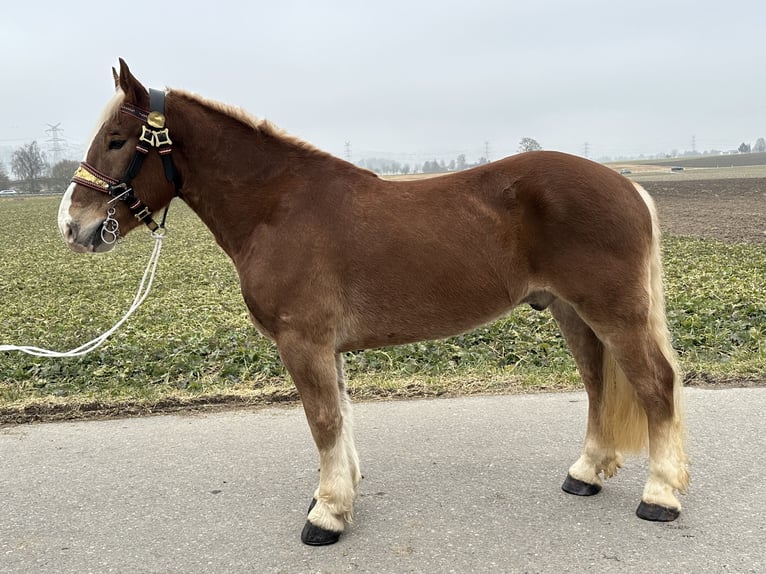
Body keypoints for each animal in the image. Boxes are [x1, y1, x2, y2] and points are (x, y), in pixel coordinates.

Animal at [57, 60, 692, 548]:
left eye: (117, 140)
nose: (72, 226)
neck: (278, 207)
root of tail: (627, 184)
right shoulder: (324, 346)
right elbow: (339, 415)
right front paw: (338, 493)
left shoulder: (303, 342)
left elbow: (322, 420)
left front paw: (328, 515)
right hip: (571, 311)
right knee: (598, 382)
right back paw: (586, 472)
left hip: (614, 312)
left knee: (655, 384)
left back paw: (660, 496)